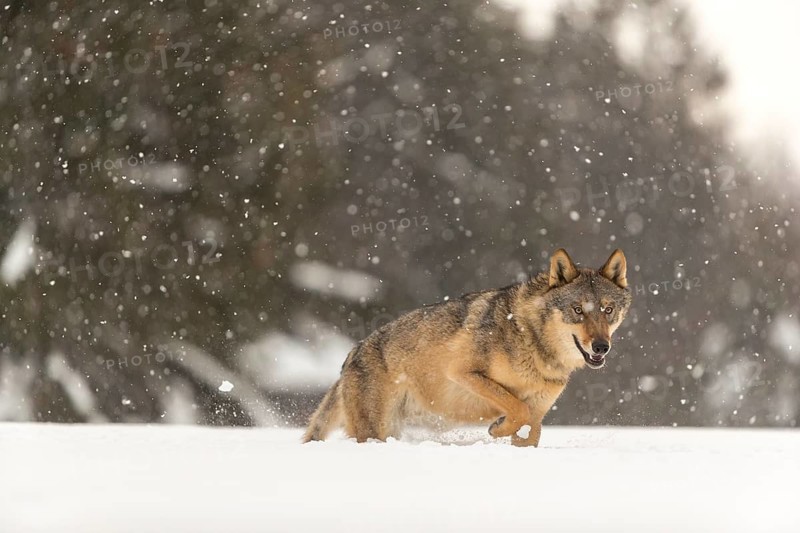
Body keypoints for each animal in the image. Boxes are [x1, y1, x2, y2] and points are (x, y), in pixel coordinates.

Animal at [303, 249, 631, 446]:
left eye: (608, 310)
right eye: (578, 310)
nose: (601, 347)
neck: (534, 346)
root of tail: (350, 356)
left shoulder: (539, 411)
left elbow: (531, 426)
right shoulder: (464, 373)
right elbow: (517, 406)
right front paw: (498, 428)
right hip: (375, 431)